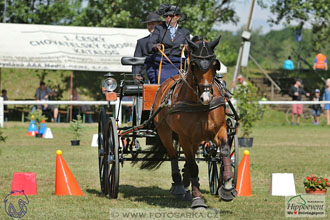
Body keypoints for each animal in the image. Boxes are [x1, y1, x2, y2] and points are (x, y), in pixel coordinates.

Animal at [139, 36, 235, 208]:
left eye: (215, 64)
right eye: (194, 65)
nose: (206, 97)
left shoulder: (220, 129)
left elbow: (224, 152)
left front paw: (228, 187)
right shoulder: (184, 137)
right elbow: (192, 165)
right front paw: (198, 200)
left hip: (196, 139)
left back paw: (185, 184)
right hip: (165, 132)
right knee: (173, 155)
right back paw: (178, 185)